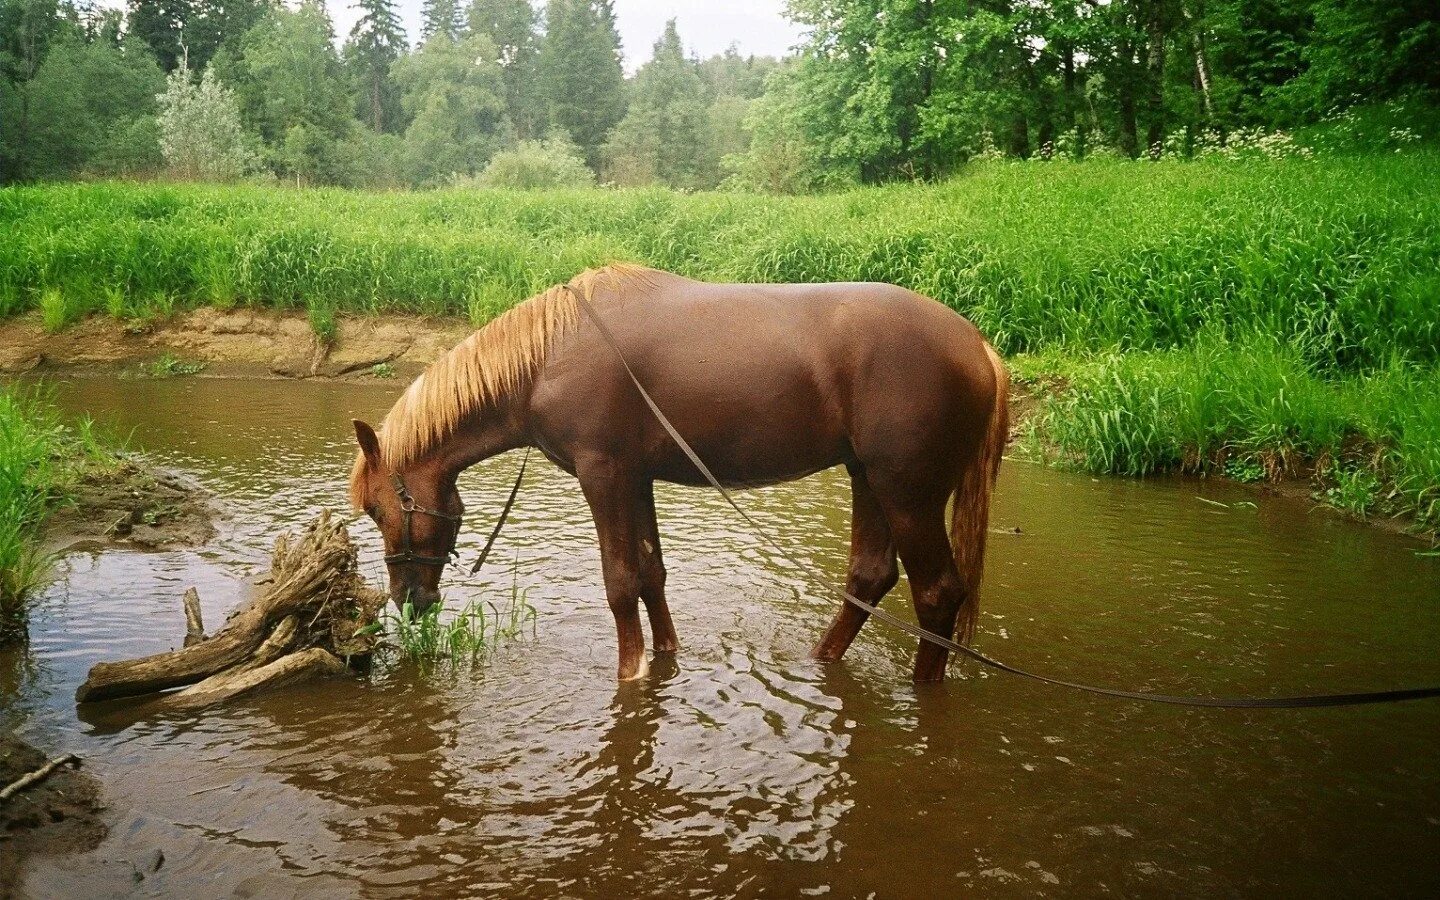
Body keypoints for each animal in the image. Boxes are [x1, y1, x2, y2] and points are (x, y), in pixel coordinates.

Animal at [349, 264, 1008, 679]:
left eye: (378, 508)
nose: (407, 601)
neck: (548, 358)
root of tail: (977, 345)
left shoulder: (603, 475)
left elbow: (620, 583)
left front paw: (630, 672)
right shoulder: (635, 479)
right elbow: (650, 574)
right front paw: (664, 656)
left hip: (908, 494)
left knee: (937, 595)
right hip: (868, 480)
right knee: (868, 579)